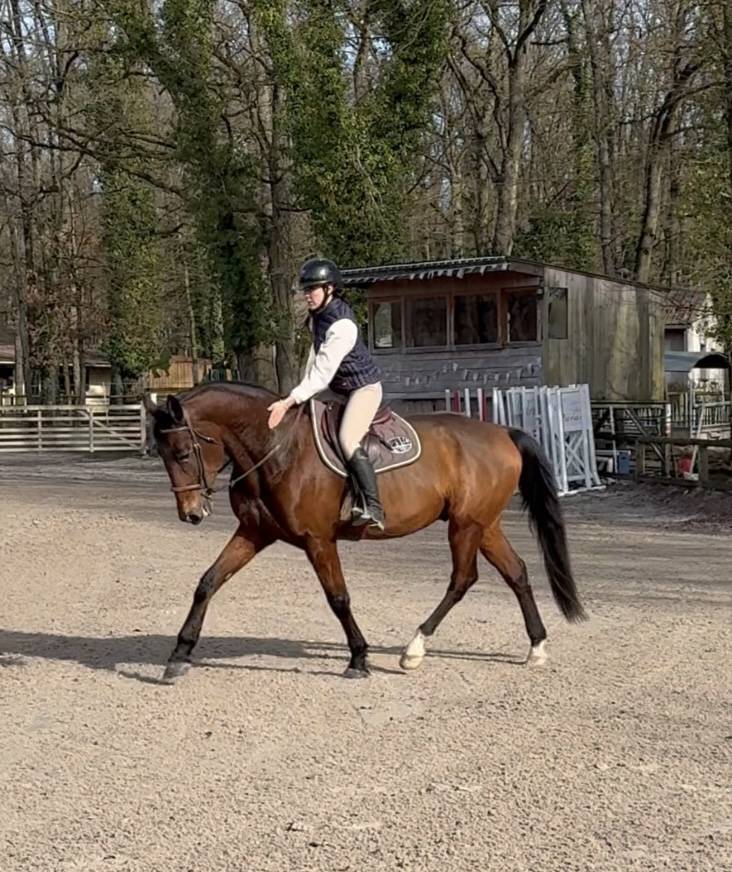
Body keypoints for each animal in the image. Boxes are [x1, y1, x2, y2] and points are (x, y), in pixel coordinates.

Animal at [143, 382, 585, 682]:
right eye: (161, 454)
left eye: (181, 453)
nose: (191, 514)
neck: (275, 447)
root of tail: (502, 432)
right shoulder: (254, 533)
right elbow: (208, 582)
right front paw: (179, 653)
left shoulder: (318, 540)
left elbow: (338, 598)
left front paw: (358, 658)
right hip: (484, 525)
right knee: (516, 573)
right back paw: (537, 647)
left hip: (465, 526)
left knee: (463, 579)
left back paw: (414, 649)